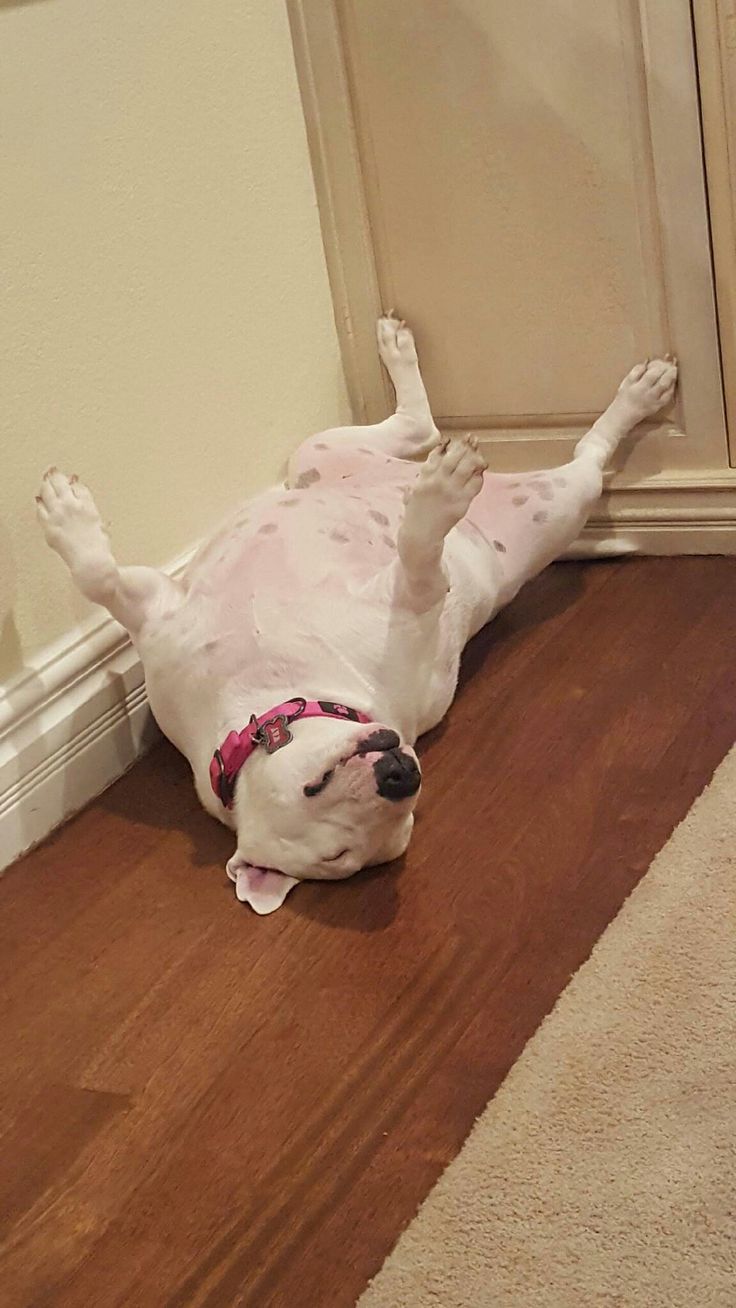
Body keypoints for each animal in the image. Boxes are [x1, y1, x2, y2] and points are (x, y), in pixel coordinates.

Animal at [37, 317, 674, 915]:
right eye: (341, 851)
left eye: (313, 788)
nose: (400, 777)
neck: (273, 692)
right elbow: (418, 549)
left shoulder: (159, 614)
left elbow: (98, 576)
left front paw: (66, 515)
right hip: (531, 501)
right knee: (484, 441)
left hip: (339, 457)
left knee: (502, 441)